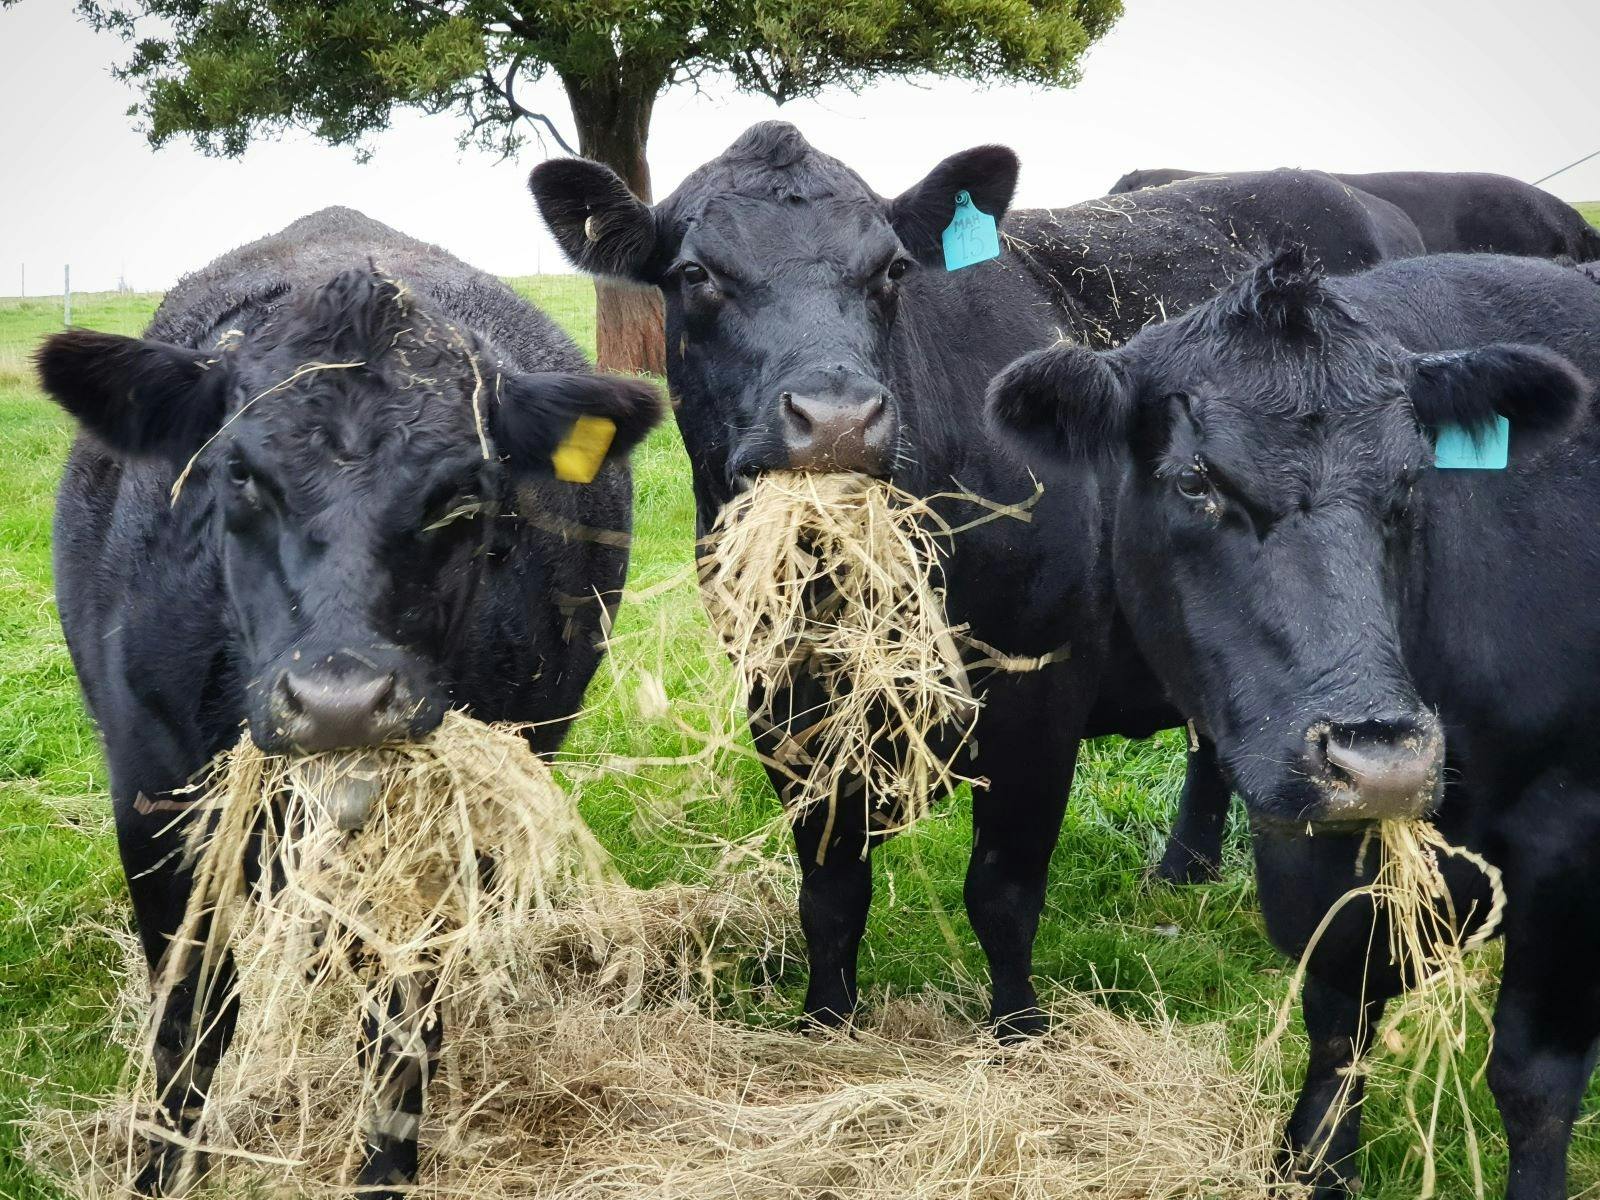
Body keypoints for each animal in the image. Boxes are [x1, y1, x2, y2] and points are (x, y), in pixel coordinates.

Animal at [35, 206, 662, 1197]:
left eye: (463, 493)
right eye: (239, 472)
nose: (340, 702)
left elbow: (402, 1019)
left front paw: (385, 1166)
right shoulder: (152, 795)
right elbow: (190, 1017)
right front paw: (162, 1169)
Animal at [526, 122, 1425, 1039]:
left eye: (891, 271)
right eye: (695, 274)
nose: (838, 421)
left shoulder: (1041, 690)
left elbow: (1002, 888)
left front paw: (1018, 1030)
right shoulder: (783, 698)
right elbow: (831, 889)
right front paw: (826, 1019)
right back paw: (1182, 871)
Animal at [988, 247, 1600, 1199]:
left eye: (1413, 482)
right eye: (1195, 482)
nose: (1384, 762)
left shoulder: (1572, 839)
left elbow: (1533, 1079)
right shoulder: (1309, 845)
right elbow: (1339, 1020)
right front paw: (1312, 1163)